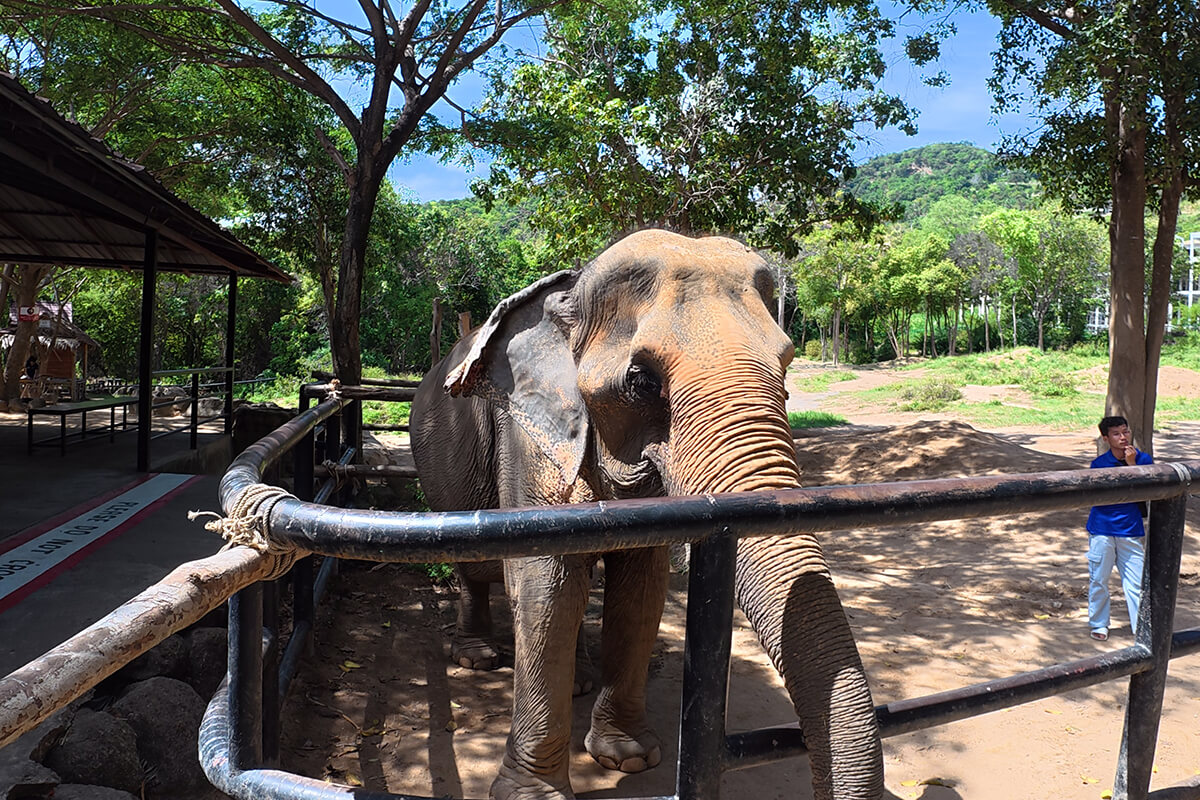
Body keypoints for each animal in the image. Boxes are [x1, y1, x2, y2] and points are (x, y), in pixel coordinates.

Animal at [409, 229, 882, 800]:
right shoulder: (527, 437)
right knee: (477, 567)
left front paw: (629, 758)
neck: (573, 291)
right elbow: (544, 582)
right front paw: (534, 794)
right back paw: (478, 657)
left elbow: (641, 584)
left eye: (788, 365)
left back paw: (579, 680)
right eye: (641, 381)